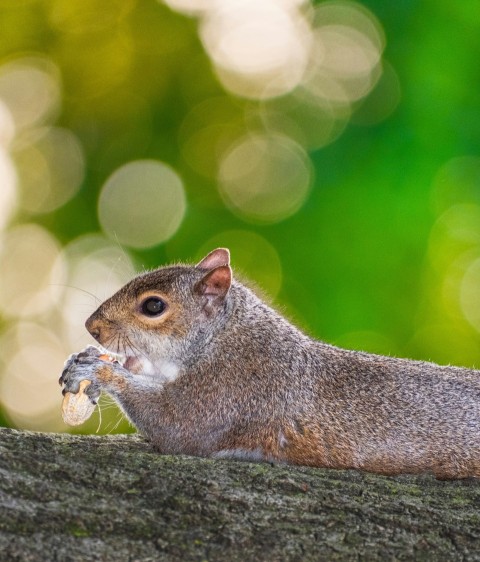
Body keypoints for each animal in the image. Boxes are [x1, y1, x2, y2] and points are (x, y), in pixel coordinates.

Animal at [59, 248, 480, 476]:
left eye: (153, 306)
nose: (91, 326)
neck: (223, 337)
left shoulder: (233, 387)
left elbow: (176, 425)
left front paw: (97, 370)